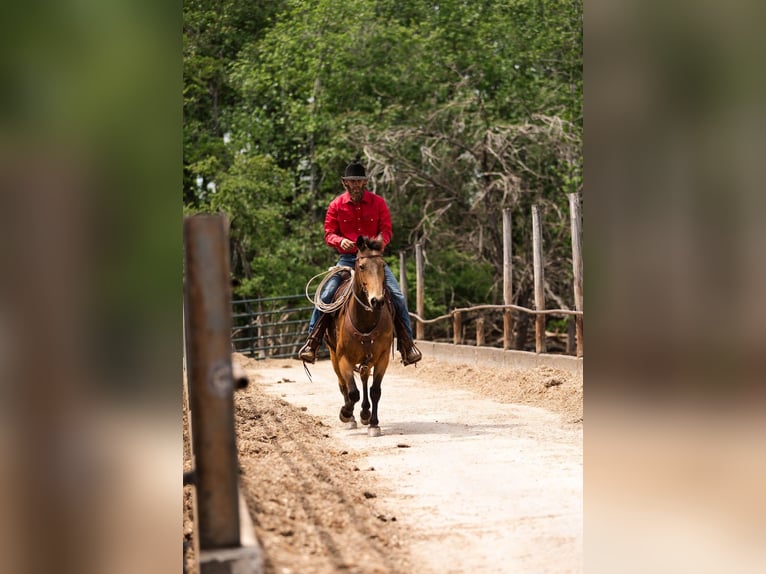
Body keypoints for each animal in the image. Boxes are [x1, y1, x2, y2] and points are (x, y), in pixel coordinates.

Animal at [325, 236, 394, 437]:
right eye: (362, 266)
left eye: (383, 265)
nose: (377, 300)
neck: (364, 320)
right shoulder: (343, 358)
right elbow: (352, 392)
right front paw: (346, 413)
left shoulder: (382, 358)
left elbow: (375, 390)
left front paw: (373, 423)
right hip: (333, 356)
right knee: (343, 385)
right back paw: (352, 417)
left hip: (367, 359)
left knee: (364, 380)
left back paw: (364, 413)